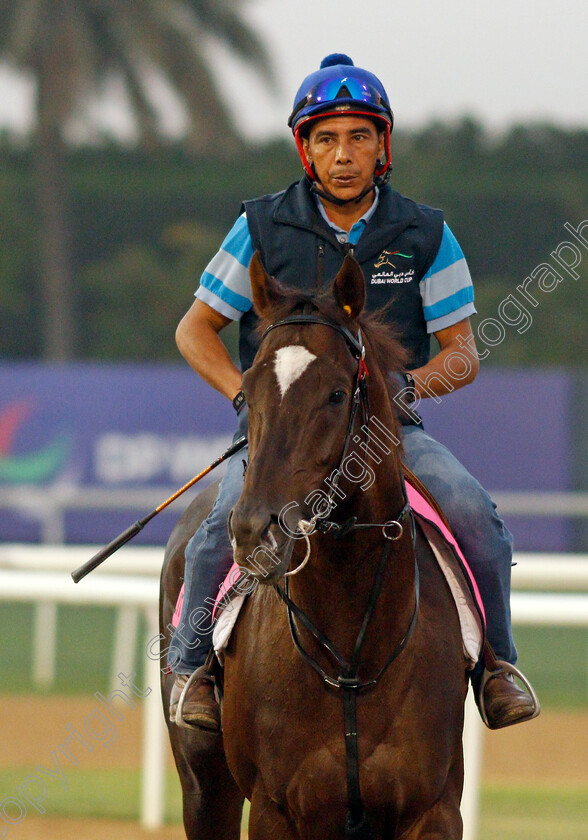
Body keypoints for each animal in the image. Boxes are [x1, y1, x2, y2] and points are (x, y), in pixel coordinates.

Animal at [160, 256, 468, 840]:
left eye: (337, 394)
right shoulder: (277, 808)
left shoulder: (433, 808)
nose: (255, 528)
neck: (351, 649)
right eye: (249, 389)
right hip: (204, 786)